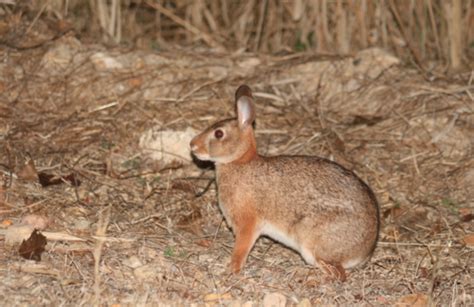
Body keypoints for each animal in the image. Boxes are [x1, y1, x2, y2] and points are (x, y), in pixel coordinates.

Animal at [191, 85, 380, 282]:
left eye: (218, 133)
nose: (192, 145)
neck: (239, 161)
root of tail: (365, 251)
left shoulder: (247, 223)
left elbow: (241, 248)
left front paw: (231, 269)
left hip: (312, 242)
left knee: (337, 273)